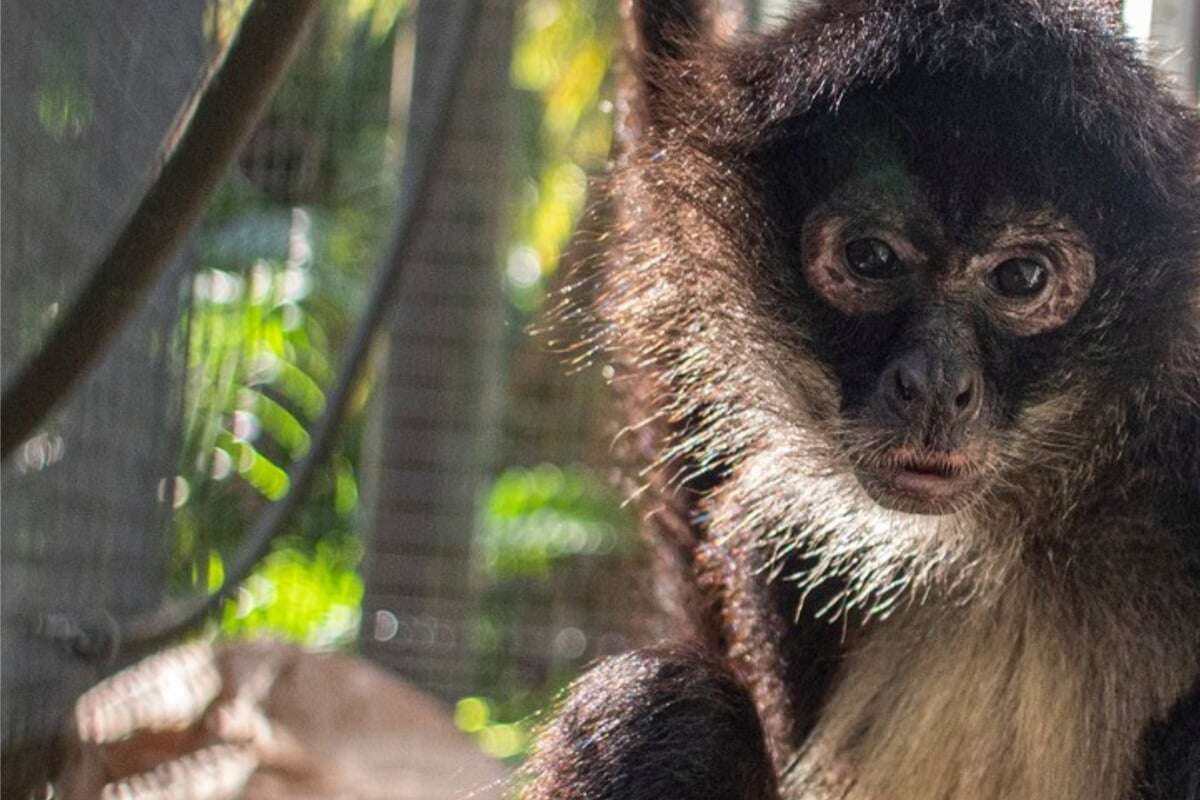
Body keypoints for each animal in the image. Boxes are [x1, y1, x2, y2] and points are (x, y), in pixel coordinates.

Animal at [520, 1, 1200, 800]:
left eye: (1022, 277)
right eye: (871, 258)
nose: (935, 384)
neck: (1030, 534)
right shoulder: (773, 534)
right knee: (658, 707)